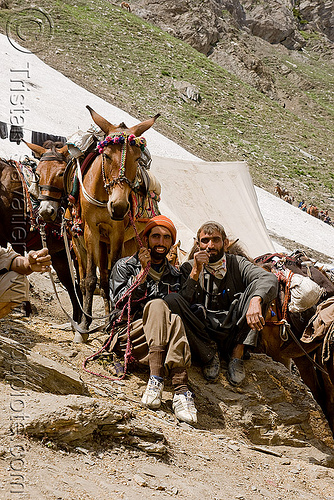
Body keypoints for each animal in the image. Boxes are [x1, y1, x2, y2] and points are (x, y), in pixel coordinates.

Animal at [0, 141, 83, 322]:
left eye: (61, 173)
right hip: (60, 256)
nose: (46, 212)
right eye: (37, 175)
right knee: (73, 289)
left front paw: (25, 308)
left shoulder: (16, 239)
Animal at [69, 106, 159, 340]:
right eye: (107, 155)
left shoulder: (117, 233)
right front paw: (84, 327)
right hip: (94, 242)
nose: (118, 207)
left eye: (137, 159)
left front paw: (112, 321)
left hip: (128, 243)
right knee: (93, 278)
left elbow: (113, 276)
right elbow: (91, 279)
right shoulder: (91, 230)